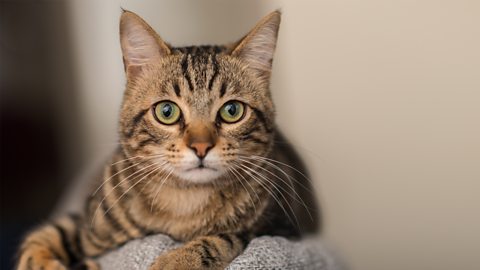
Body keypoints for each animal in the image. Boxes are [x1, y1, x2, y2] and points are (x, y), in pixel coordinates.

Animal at [15, 9, 318, 268]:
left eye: (232, 111)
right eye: (167, 111)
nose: (201, 147)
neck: (185, 202)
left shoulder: (281, 231)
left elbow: (225, 237)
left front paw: (176, 261)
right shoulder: (87, 224)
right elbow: (43, 235)